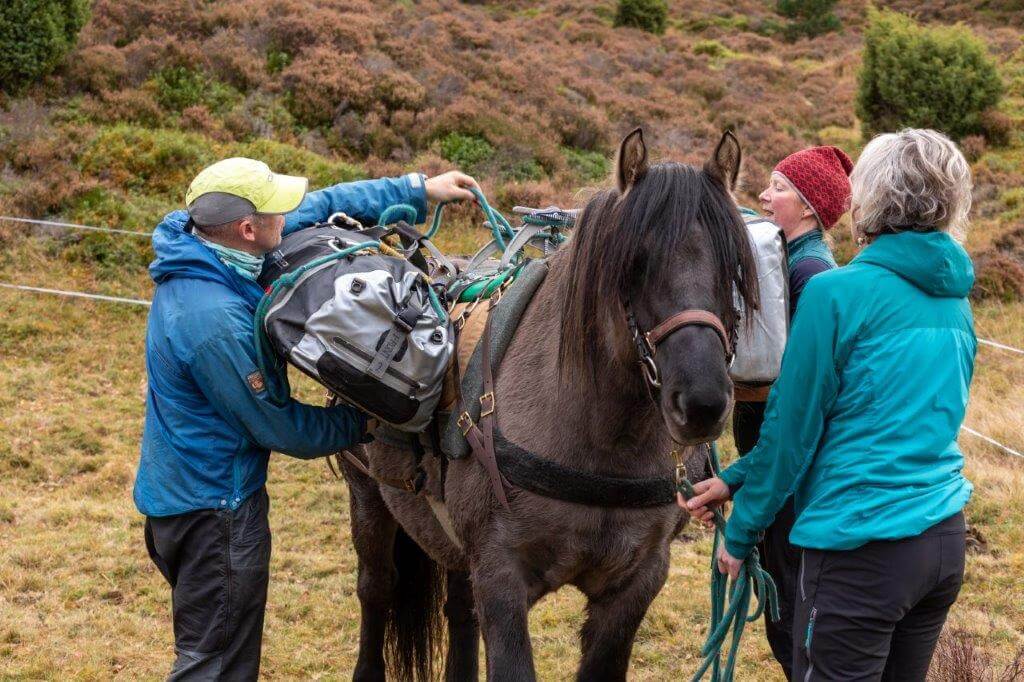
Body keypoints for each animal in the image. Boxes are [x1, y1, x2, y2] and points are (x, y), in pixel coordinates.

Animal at [342, 129, 761, 679]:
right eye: (633, 263)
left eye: (734, 265)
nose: (702, 404)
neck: (601, 441)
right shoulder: (500, 579)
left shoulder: (636, 583)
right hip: (366, 493)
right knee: (376, 590)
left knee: (458, 611)